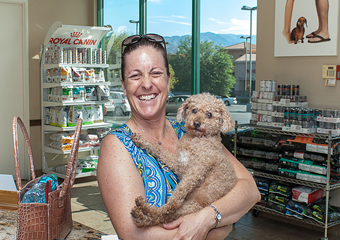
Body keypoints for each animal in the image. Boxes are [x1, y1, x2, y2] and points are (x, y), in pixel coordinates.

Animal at [130, 92, 236, 227]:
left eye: (209, 114)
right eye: (194, 110)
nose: (196, 123)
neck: (196, 140)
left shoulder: (196, 171)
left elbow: (177, 195)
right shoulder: (178, 162)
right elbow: (159, 149)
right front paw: (141, 140)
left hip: (192, 205)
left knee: (167, 213)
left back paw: (145, 210)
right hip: (190, 206)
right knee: (166, 216)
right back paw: (141, 215)